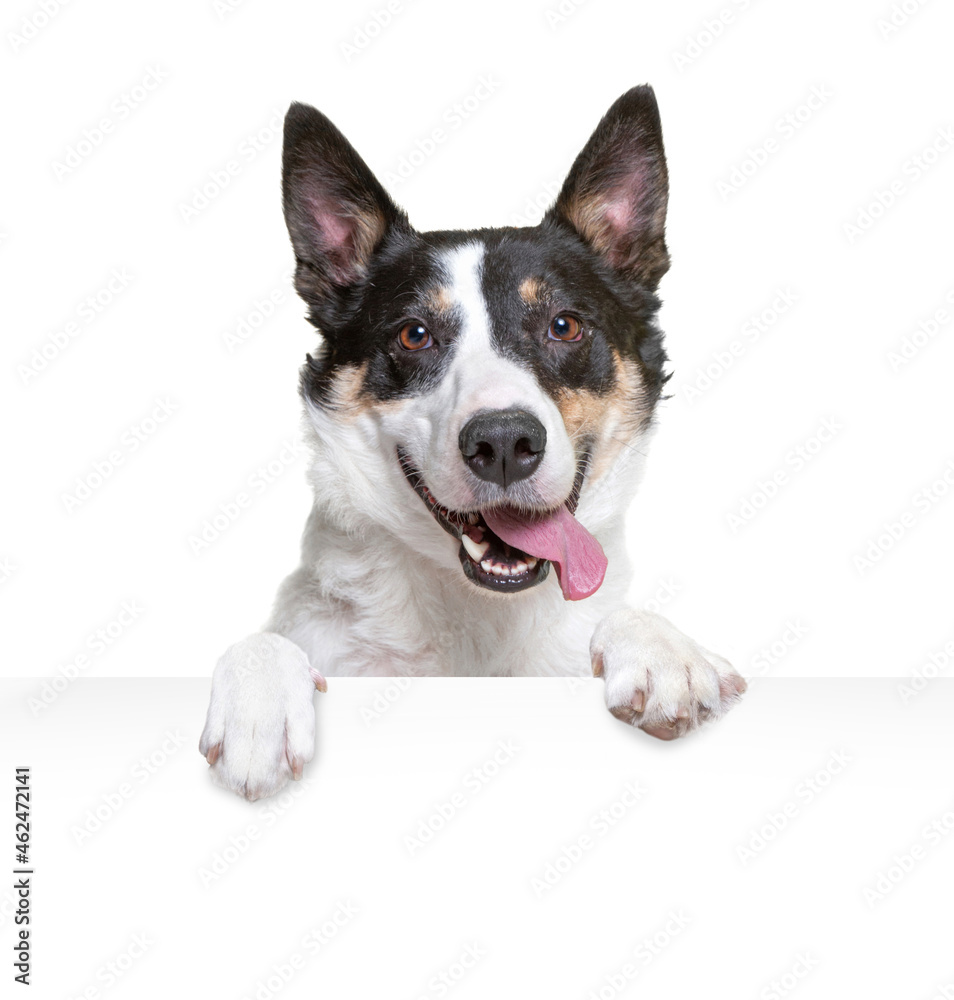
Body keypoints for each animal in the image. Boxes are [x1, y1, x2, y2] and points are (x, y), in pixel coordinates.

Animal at [199, 86, 744, 804]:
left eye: (564, 325)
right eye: (414, 334)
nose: (505, 440)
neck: (480, 617)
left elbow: (622, 618)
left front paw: (662, 650)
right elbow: (270, 642)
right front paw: (257, 706)